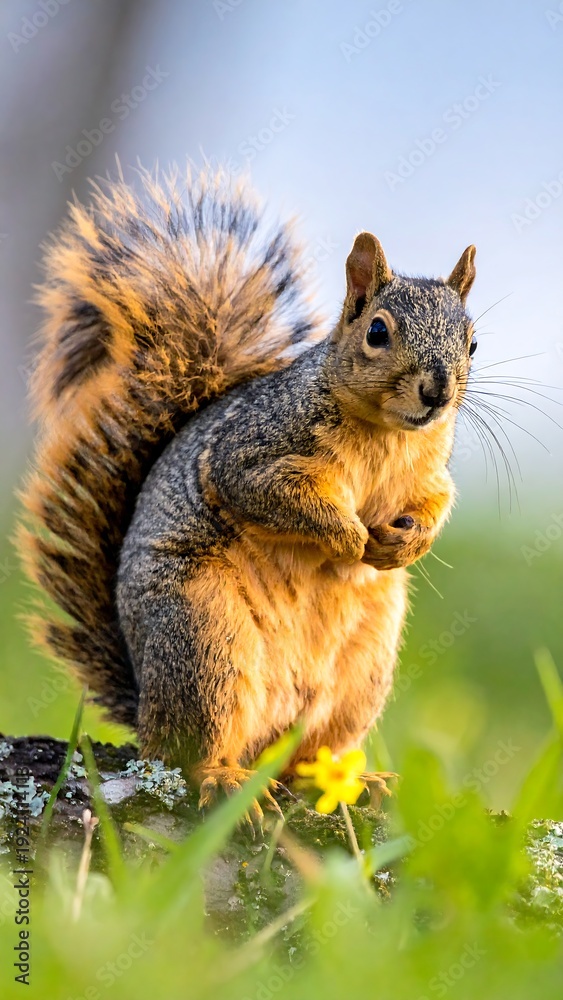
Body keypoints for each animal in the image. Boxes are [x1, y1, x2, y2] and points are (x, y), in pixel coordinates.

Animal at [17, 166, 477, 817]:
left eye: (473, 343)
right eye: (377, 331)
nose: (437, 392)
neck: (386, 435)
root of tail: (147, 710)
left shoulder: (428, 473)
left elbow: (436, 503)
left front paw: (406, 544)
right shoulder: (248, 455)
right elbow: (278, 496)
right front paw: (348, 535)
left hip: (361, 676)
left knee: (307, 756)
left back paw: (351, 780)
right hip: (205, 640)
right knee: (193, 750)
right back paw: (222, 778)